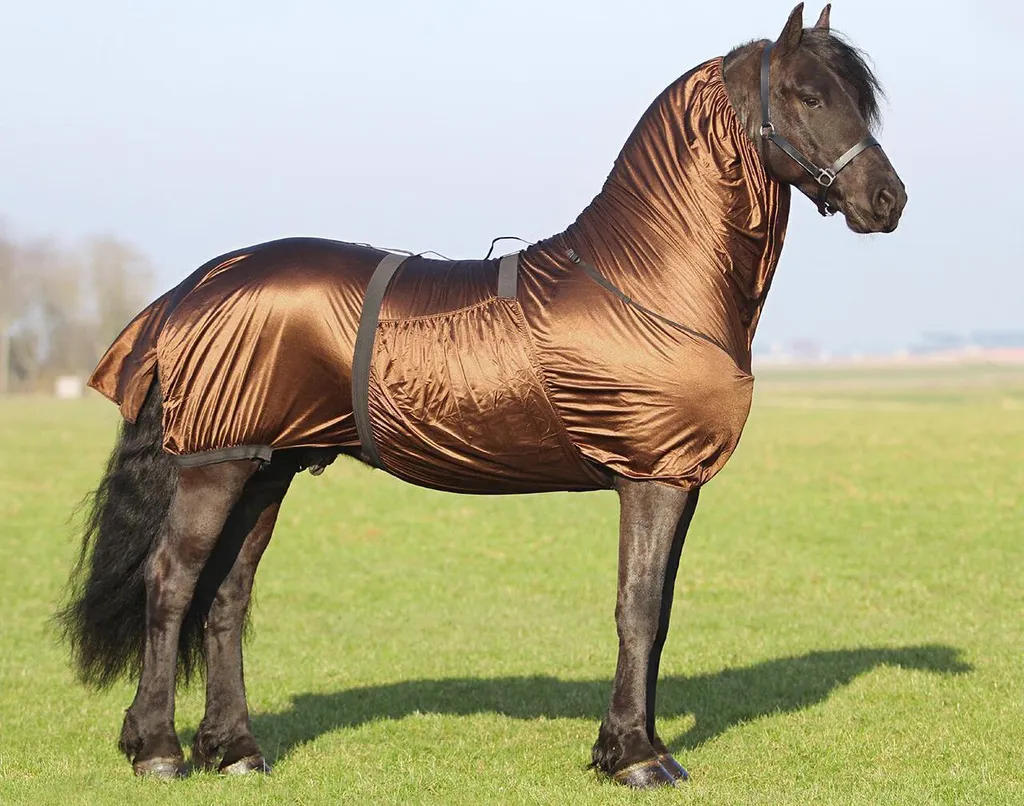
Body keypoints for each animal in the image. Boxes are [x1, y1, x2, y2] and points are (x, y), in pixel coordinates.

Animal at [57, 3, 906, 789]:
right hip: (217, 465)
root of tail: (195, 286)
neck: (649, 282)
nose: (888, 200)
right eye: (806, 94)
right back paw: (158, 750)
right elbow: (637, 608)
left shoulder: (680, 479)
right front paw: (635, 756)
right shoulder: (653, 476)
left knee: (227, 595)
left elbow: (659, 613)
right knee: (172, 584)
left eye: (859, 99)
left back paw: (235, 750)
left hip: (267, 466)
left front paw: (634, 745)